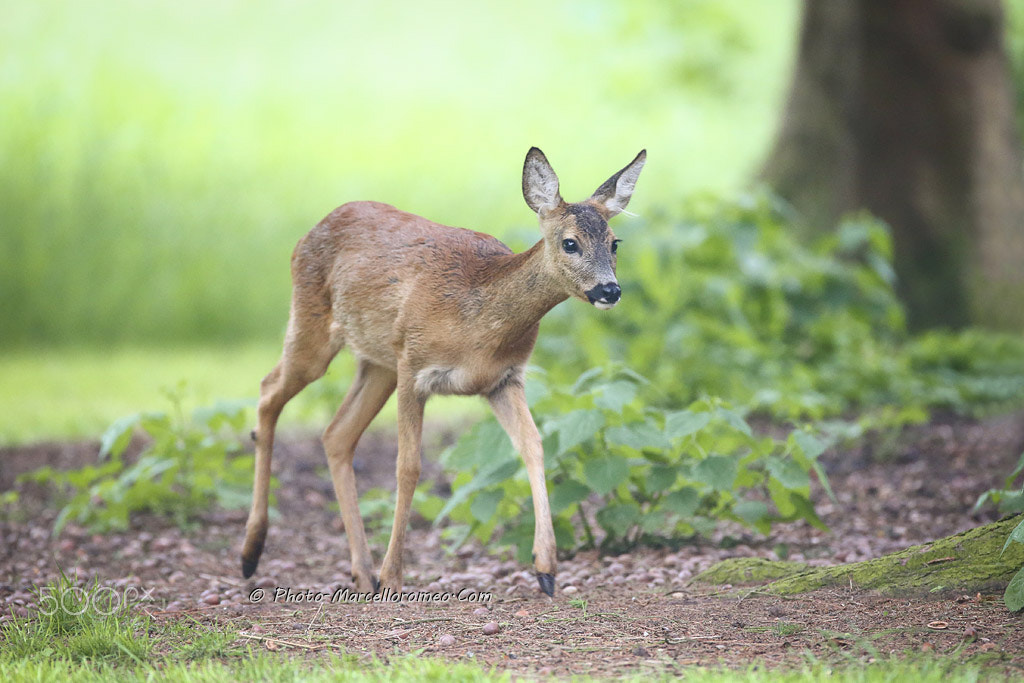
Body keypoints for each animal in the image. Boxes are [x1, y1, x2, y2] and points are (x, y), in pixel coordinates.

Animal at [240, 147, 643, 593]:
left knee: (336, 434)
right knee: (268, 391)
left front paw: (546, 568)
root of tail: (311, 231)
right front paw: (394, 576)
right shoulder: (414, 368)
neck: (478, 328)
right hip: (314, 327)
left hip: (377, 362)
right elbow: (408, 467)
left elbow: (534, 447)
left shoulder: (504, 379)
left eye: (615, 242)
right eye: (570, 242)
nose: (610, 290)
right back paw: (251, 554)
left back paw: (361, 572)